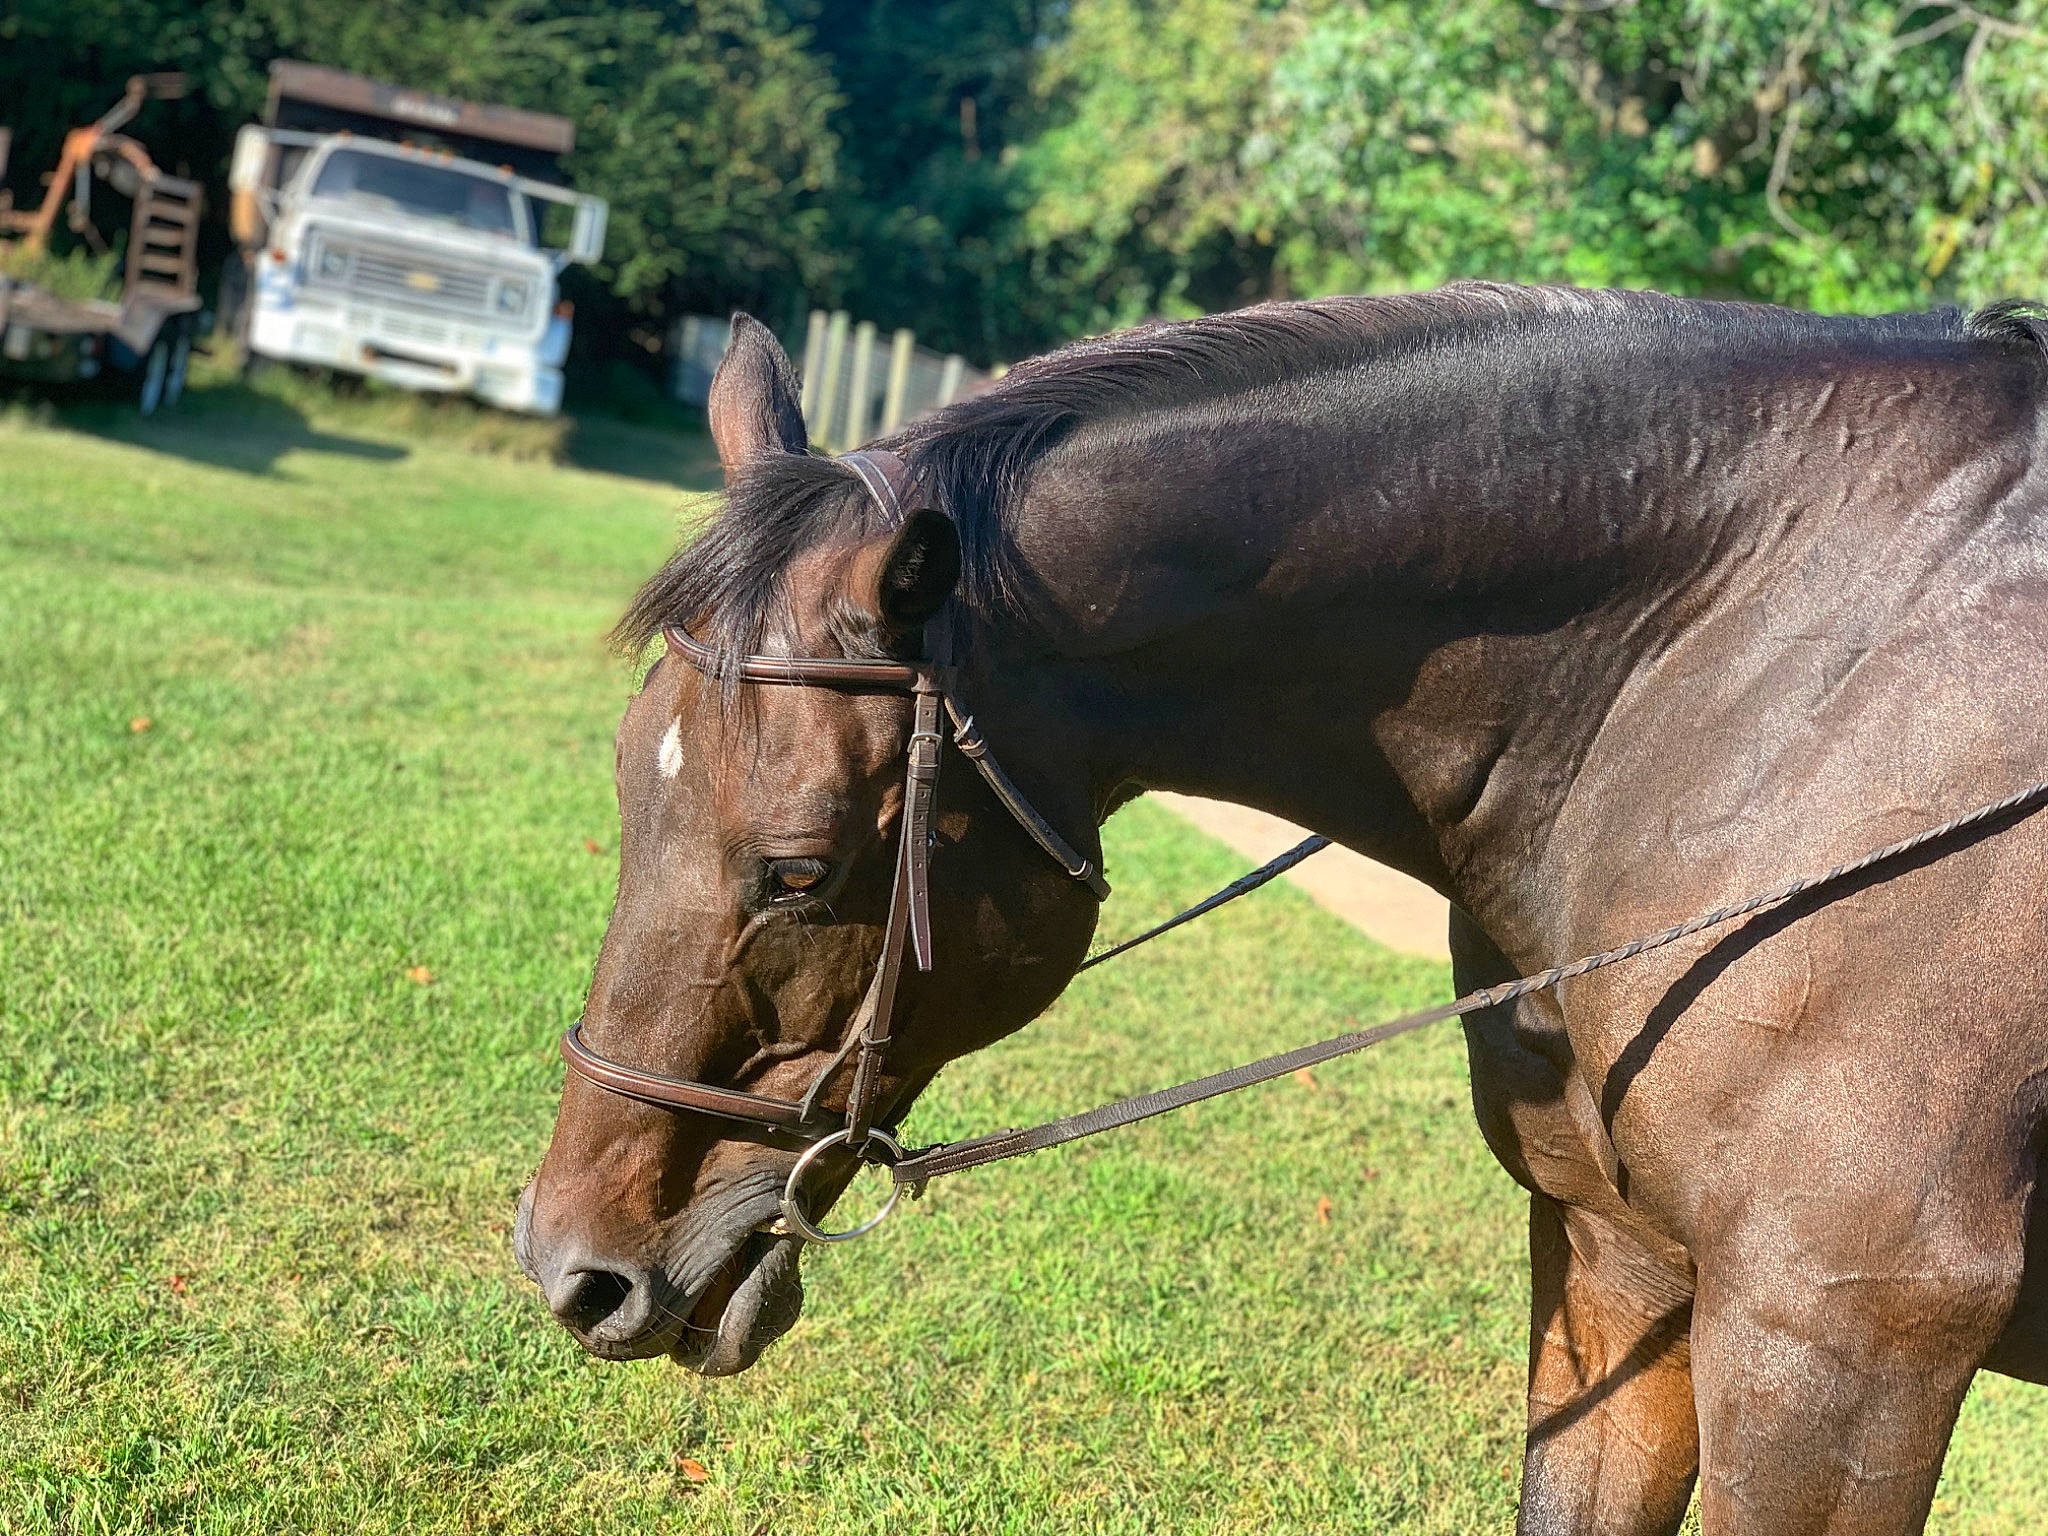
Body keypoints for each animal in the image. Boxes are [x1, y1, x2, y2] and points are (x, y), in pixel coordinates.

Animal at [514, 285, 2048, 1534]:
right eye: (626, 781)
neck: (1755, 694)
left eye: (796, 872)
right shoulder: (1621, 1263)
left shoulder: (1838, 1349)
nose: (572, 1271)